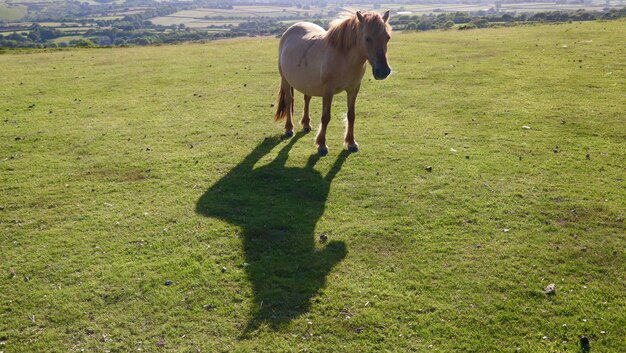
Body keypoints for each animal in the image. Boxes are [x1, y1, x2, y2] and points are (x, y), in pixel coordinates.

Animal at [272, 10, 390, 154]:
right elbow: (325, 117)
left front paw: (351, 142)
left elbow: (351, 115)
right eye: (367, 38)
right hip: (285, 80)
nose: (383, 71)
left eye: (387, 37)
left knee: (307, 99)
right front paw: (322, 145)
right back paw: (289, 128)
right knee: (289, 101)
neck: (343, 56)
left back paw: (306, 124)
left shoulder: (354, 89)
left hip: (307, 83)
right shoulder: (328, 91)